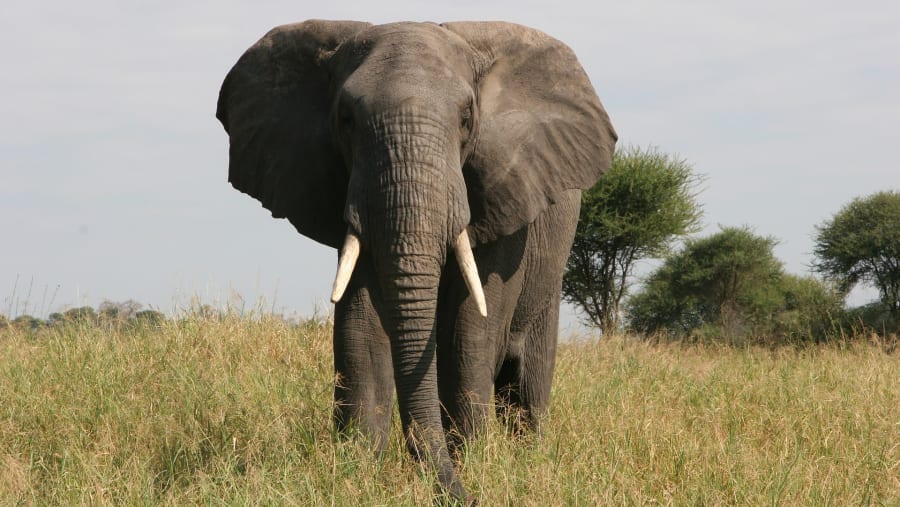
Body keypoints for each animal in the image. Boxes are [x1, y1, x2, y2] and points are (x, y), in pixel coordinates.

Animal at [216, 20, 616, 501]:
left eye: (466, 118)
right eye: (346, 119)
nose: (470, 498)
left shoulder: (504, 191)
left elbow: (470, 329)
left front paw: (473, 464)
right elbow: (360, 329)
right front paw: (355, 475)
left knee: (527, 387)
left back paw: (529, 458)